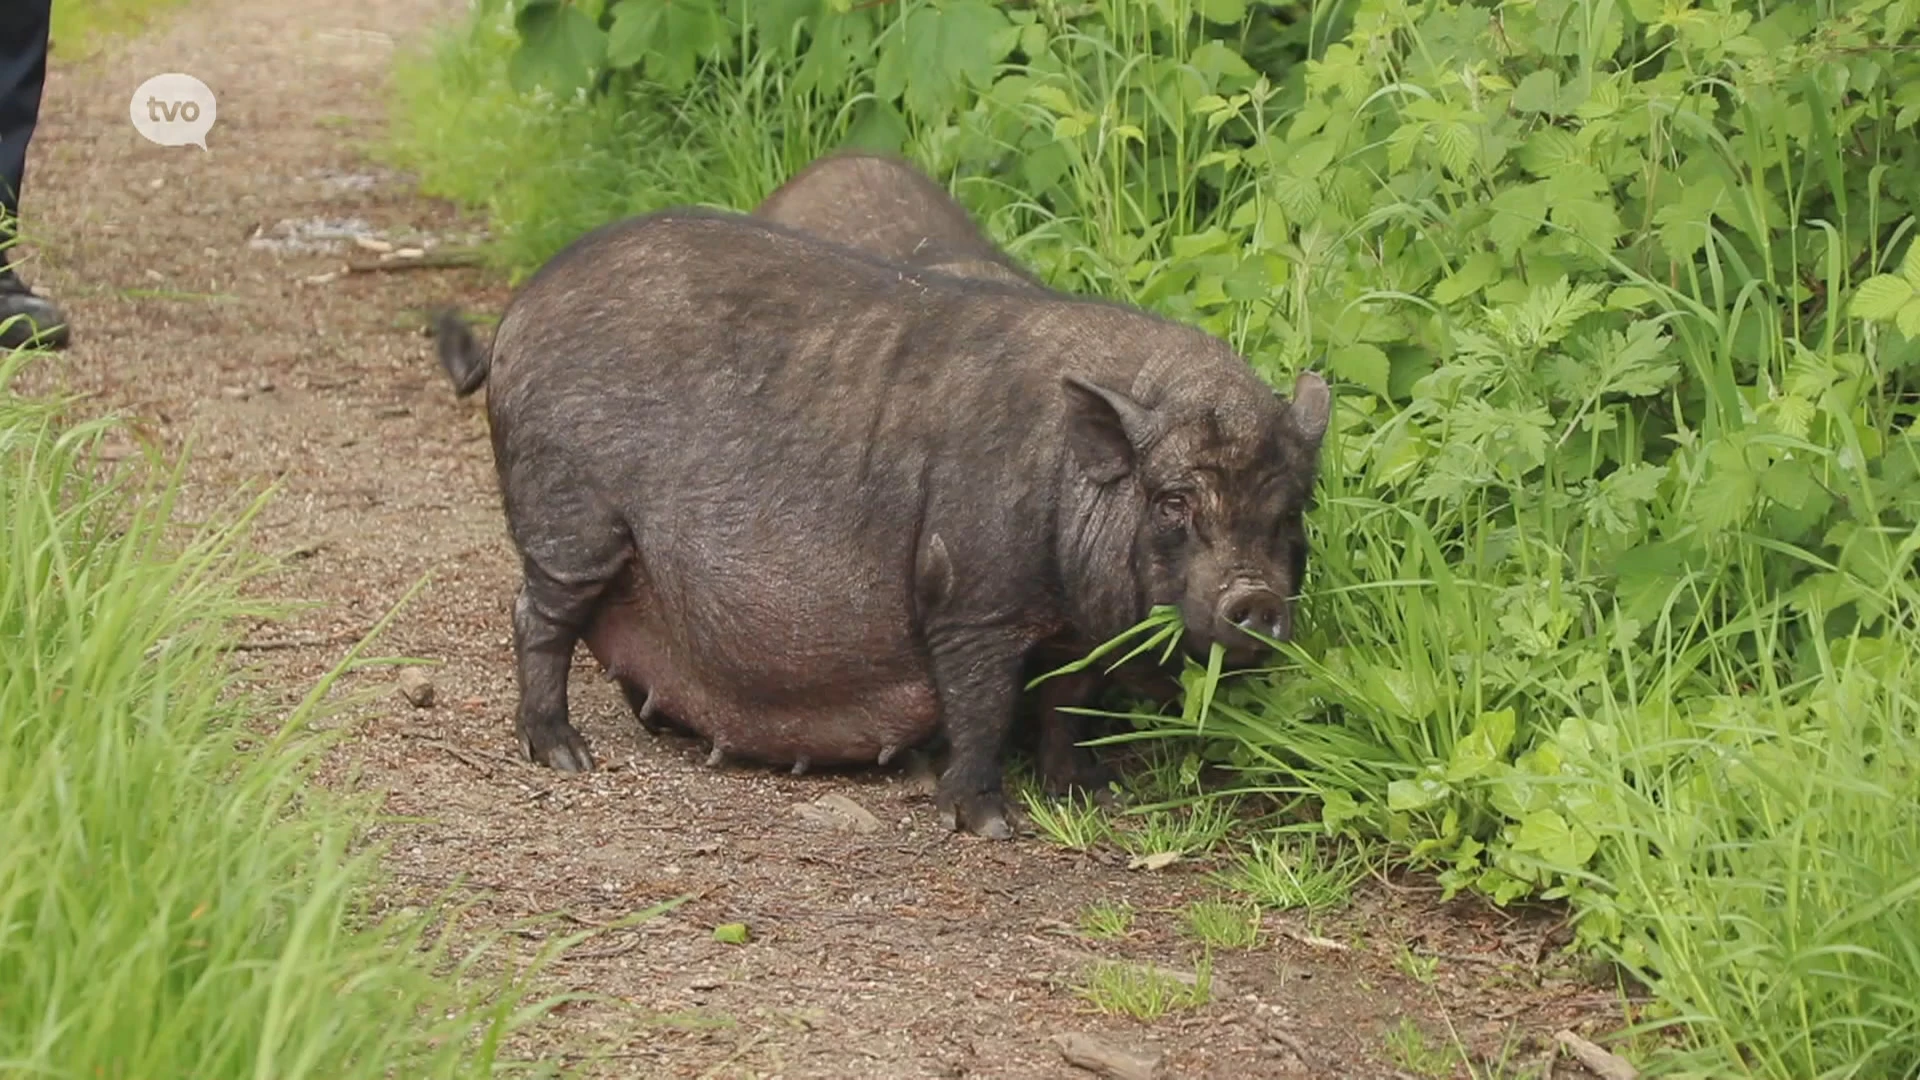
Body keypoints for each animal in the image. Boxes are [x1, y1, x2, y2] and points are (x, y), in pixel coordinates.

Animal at [432, 205, 1336, 837]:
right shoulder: (969, 596)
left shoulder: (1076, 628)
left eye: (1289, 510)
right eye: (1174, 501)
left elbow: (1067, 703)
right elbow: (982, 704)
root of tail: (518, 311)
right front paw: (990, 825)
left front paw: (1088, 796)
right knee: (535, 614)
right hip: (570, 515)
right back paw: (565, 755)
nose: (1256, 597)